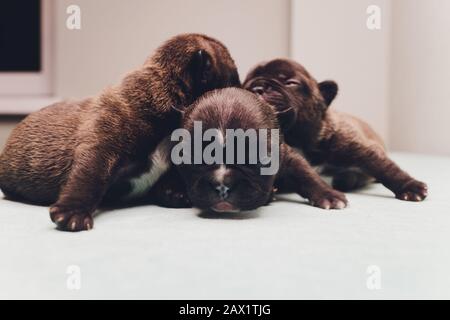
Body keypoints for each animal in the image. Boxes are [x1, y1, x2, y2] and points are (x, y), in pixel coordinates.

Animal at [0, 33, 241, 231]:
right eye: (233, 79)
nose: (244, 88)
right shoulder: (103, 146)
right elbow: (89, 176)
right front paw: (73, 212)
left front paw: (174, 193)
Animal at [171, 87, 346, 212]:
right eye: (192, 158)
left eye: (258, 159)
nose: (222, 186)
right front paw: (174, 192)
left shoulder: (288, 157)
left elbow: (305, 173)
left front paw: (328, 195)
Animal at [244, 58, 428, 201]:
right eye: (246, 85)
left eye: (290, 83)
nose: (258, 88)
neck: (298, 139)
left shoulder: (357, 147)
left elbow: (383, 166)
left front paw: (410, 187)